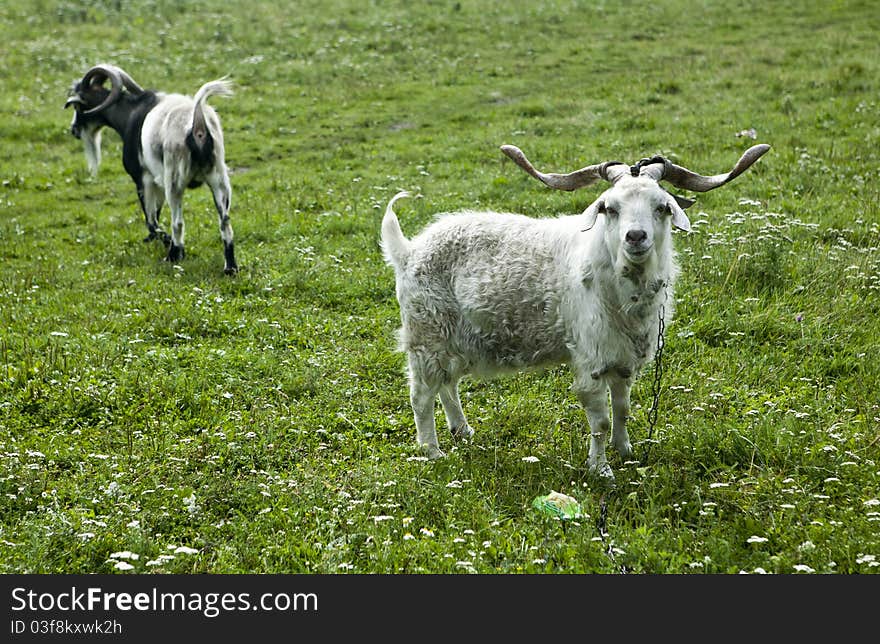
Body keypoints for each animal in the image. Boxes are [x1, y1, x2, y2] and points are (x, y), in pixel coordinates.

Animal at [65, 65, 237, 274]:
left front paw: (165, 241)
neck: (131, 114)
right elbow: (156, 213)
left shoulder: (143, 178)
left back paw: (173, 255)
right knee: (225, 222)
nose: (73, 129)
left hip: (175, 181)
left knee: (178, 222)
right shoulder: (158, 181)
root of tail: (198, 124)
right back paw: (230, 268)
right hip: (219, 180)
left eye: (78, 106)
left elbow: (151, 220)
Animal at [382, 143, 768, 480]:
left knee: (447, 384)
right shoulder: (590, 358)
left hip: (454, 339)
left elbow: (622, 410)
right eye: (609, 207)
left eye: (662, 206)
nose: (635, 237)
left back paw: (463, 432)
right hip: (426, 334)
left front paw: (626, 452)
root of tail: (407, 251)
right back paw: (432, 452)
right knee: (421, 395)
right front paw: (601, 470)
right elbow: (600, 419)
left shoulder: (623, 359)